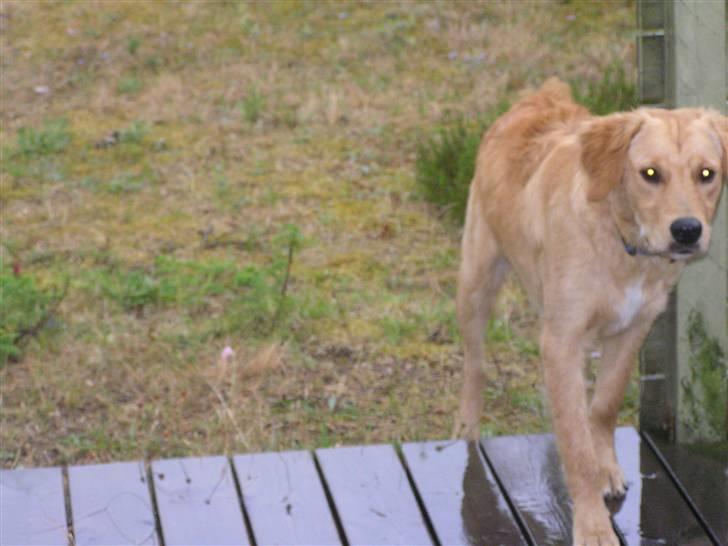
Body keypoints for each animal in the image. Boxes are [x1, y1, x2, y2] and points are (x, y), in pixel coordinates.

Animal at [452, 77, 724, 544]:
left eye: (706, 173)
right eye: (650, 174)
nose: (688, 231)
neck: (622, 240)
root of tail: (542, 96)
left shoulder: (634, 328)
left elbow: (603, 406)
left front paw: (605, 468)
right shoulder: (561, 339)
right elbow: (575, 445)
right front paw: (592, 525)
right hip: (477, 278)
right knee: (474, 364)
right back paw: (467, 429)